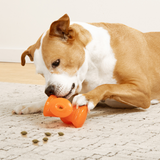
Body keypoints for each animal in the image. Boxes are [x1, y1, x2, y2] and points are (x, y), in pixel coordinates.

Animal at [13, 13, 160, 114]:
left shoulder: (142, 89)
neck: (93, 64)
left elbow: (107, 86)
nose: (49, 91)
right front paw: (29, 105)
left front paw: (87, 97)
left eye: (56, 62)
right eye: (41, 74)